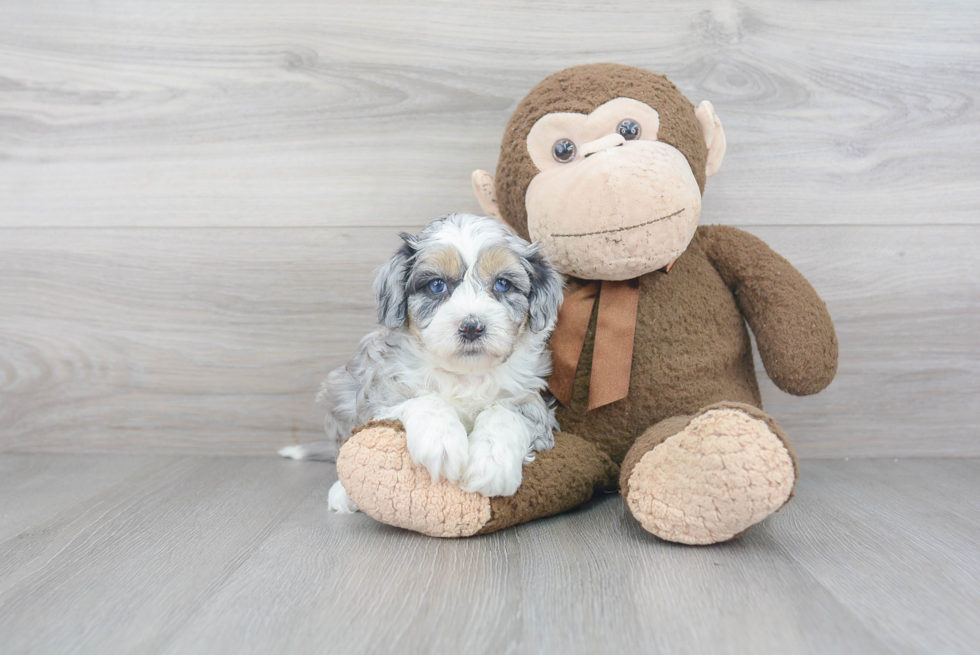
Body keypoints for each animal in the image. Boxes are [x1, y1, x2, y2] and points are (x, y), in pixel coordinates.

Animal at [280, 213, 564, 516]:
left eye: (503, 284)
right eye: (436, 285)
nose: (472, 327)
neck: (464, 375)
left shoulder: (534, 402)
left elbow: (505, 413)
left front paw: (492, 463)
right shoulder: (379, 397)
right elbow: (426, 400)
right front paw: (441, 443)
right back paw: (343, 495)